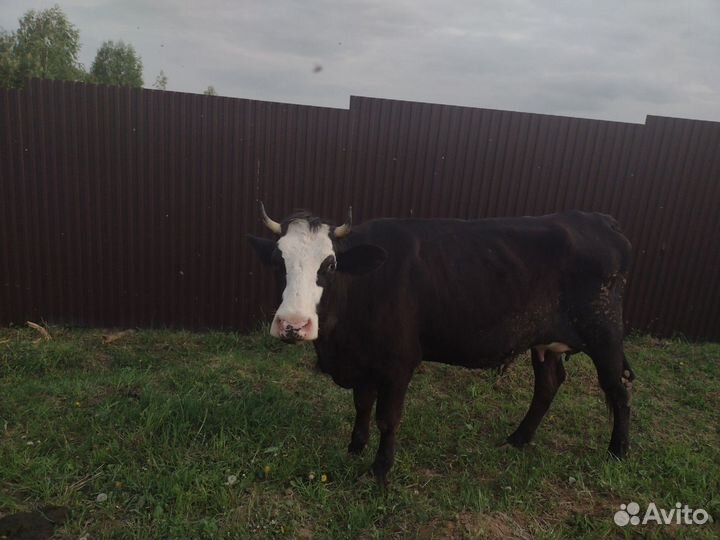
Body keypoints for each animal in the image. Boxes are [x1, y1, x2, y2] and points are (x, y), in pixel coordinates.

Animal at [249, 203, 635, 486]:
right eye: (279, 262)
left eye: (329, 264)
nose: (293, 325)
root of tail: (600, 220)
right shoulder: (363, 360)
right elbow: (362, 406)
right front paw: (355, 448)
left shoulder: (399, 363)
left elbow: (387, 418)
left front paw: (380, 470)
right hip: (545, 341)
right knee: (549, 384)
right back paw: (519, 438)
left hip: (604, 332)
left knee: (618, 388)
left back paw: (618, 451)